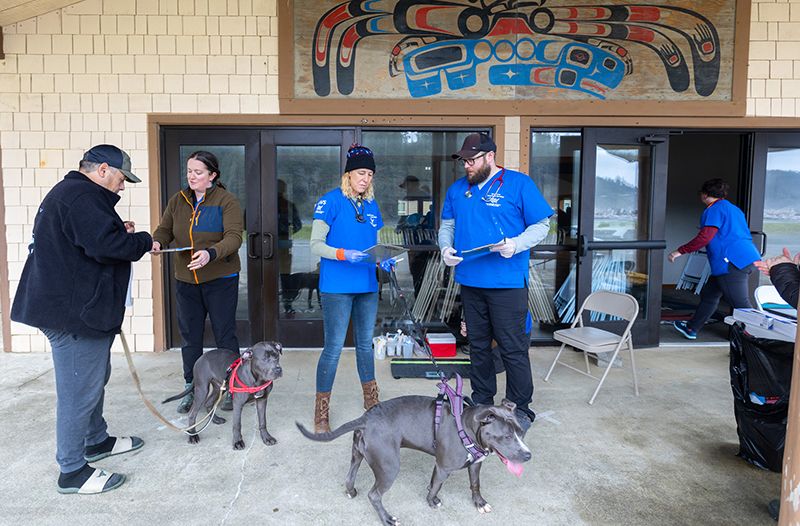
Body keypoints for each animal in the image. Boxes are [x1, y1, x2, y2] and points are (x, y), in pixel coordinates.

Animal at [294, 378, 532, 524]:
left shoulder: (474, 464)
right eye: (507, 436)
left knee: (350, 475)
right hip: (389, 467)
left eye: (521, 432)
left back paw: (351, 491)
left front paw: (479, 503)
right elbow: (436, 486)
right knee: (374, 495)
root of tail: (365, 418)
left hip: (358, 455)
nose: (528, 455)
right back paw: (387, 519)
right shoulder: (444, 467)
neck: (466, 426)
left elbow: (474, 484)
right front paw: (432, 501)